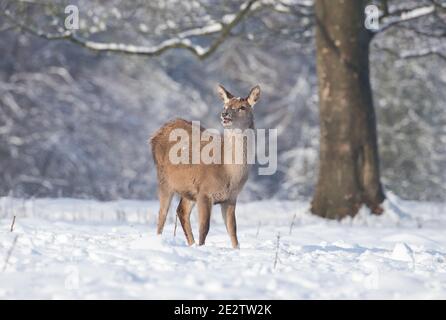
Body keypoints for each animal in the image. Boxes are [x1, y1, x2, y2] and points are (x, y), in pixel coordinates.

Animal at [150, 84, 262, 249]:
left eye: (242, 107)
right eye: (225, 105)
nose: (224, 114)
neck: (228, 173)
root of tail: (155, 134)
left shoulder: (231, 197)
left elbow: (233, 229)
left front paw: (236, 249)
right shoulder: (204, 191)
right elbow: (204, 227)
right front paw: (202, 247)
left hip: (188, 189)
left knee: (181, 211)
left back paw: (191, 244)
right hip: (164, 179)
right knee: (162, 214)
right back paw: (160, 240)